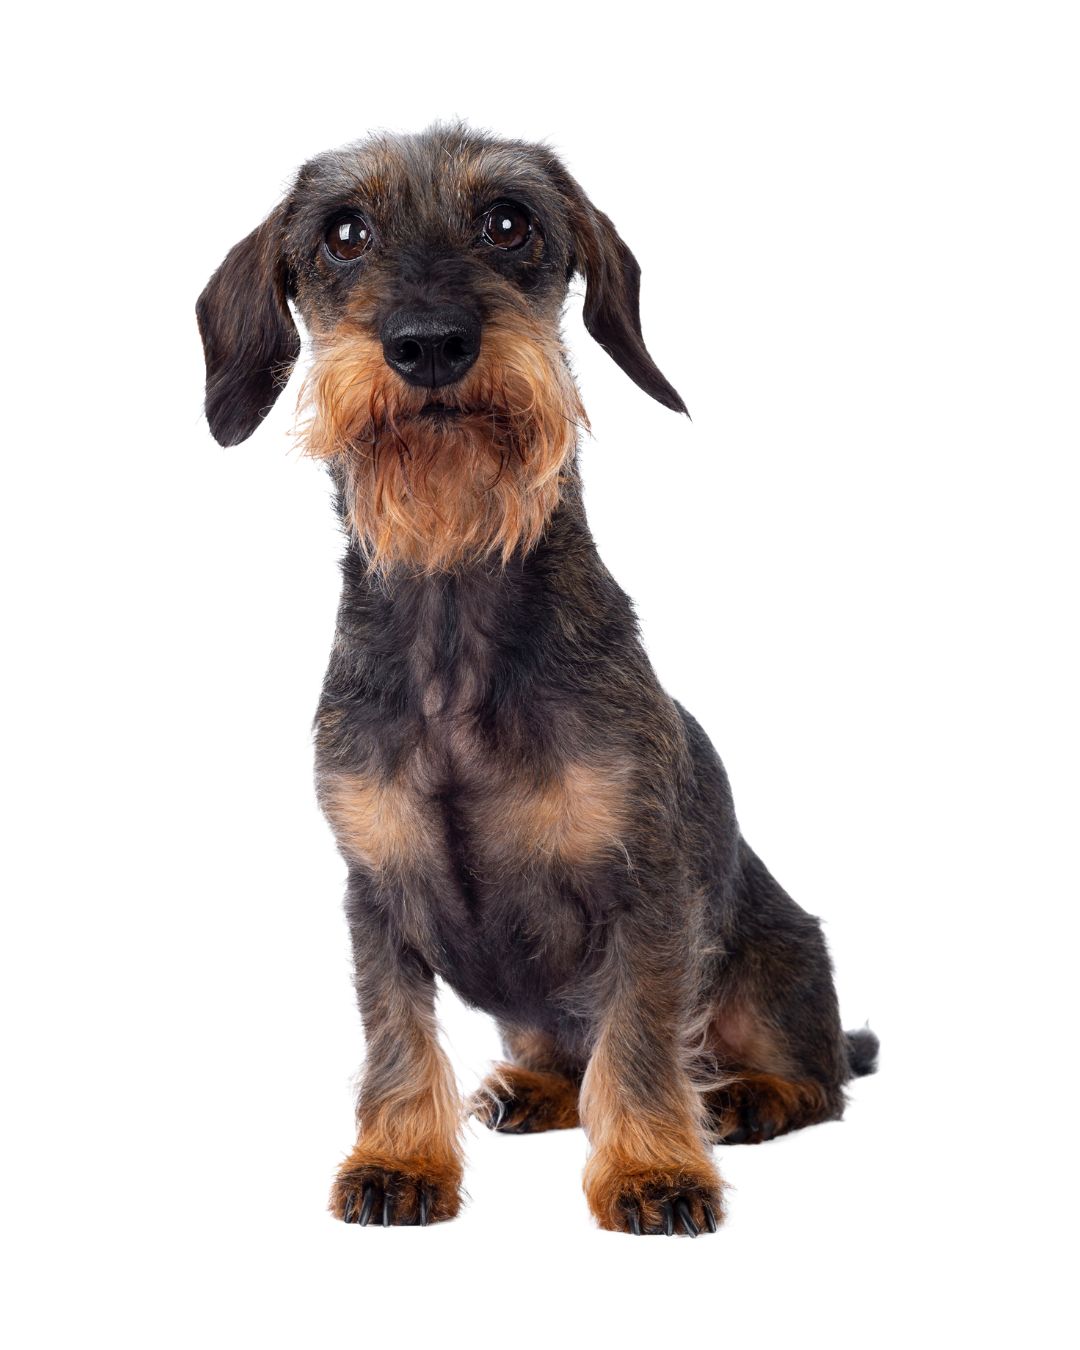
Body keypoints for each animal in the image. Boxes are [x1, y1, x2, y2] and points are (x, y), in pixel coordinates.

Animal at [195, 124, 874, 1236]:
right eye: (343, 234)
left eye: (509, 222)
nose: (430, 343)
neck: (454, 611)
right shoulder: (375, 894)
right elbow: (396, 1038)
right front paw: (398, 1159)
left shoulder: (646, 892)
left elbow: (641, 1042)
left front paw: (652, 1169)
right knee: (564, 1053)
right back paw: (532, 1088)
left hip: (777, 971)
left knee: (819, 1078)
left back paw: (749, 1097)